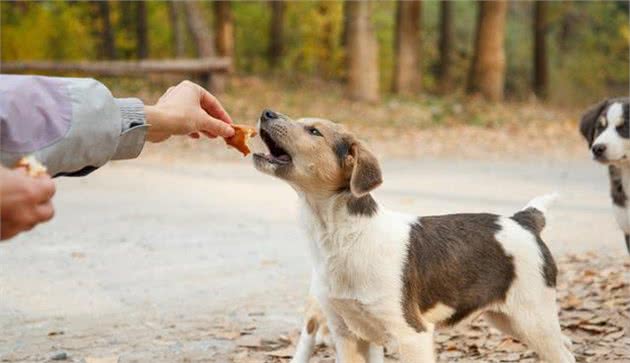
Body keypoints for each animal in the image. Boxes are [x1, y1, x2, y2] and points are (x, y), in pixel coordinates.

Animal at [254, 111, 576, 363]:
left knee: (564, 354)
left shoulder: (412, 334)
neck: (344, 237)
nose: (266, 113)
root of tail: (524, 220)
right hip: (509, 319)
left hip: (533, 317)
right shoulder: (347, 335)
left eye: (314, 131)